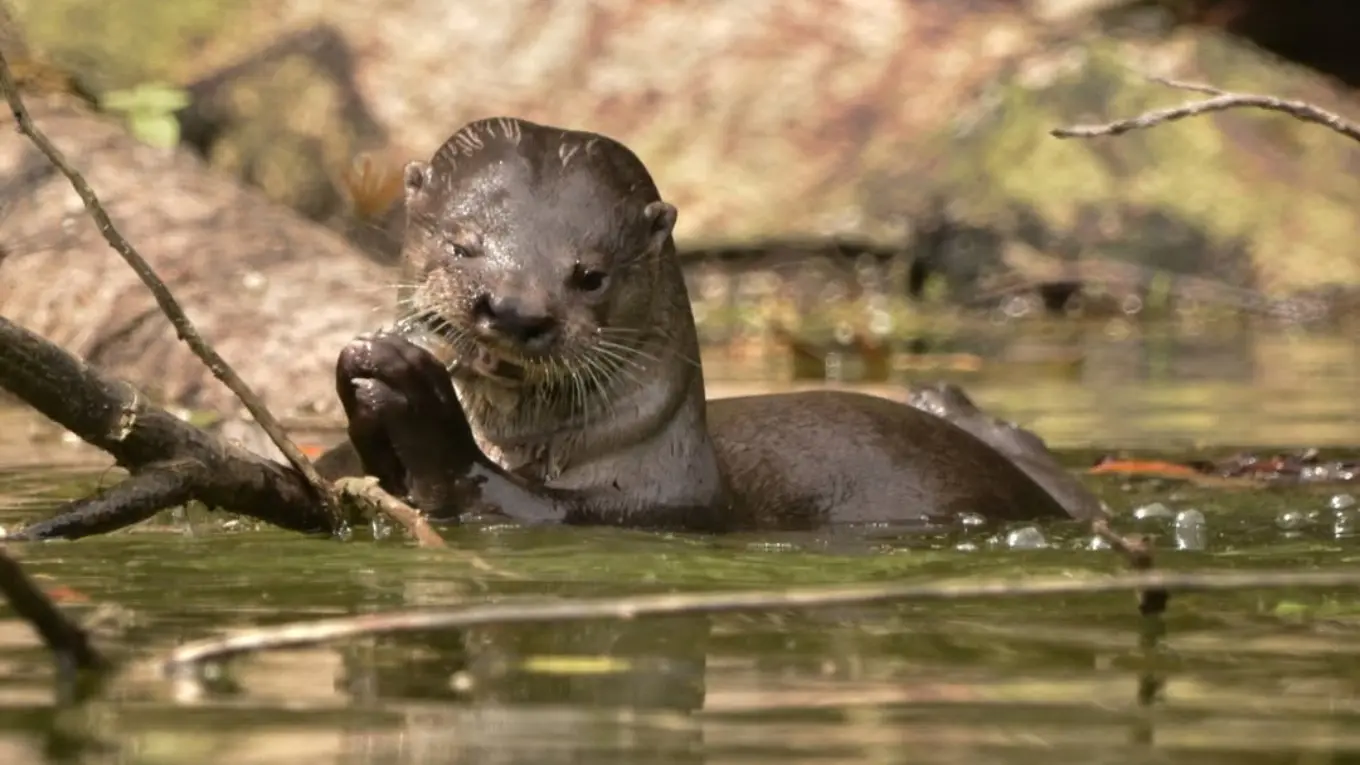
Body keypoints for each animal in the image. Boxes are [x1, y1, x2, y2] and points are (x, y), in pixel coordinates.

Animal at [331, 117, 1100, 533]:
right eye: (462, 245)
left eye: (591, 274)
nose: (517, 310)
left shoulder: (650, 504)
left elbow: (495, 494)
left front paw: (413, 400)